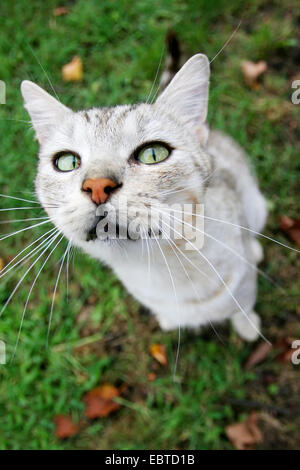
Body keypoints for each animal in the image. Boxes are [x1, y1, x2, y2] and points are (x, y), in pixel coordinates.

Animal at [20, 52, 268, 342]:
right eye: (67, 162)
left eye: (153, 153)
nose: (97, 186)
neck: (161, 269)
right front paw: (170, 320)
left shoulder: (245, 284)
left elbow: (244, 308)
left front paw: (249, 328)